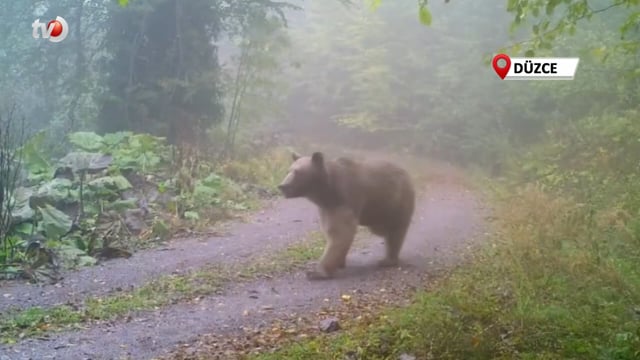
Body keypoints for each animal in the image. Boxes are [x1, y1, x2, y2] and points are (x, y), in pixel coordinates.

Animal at [278, 150, 418, 280]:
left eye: (297, 172)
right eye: (288, 171)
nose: (282, 186)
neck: (325, 192)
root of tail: (406, 172)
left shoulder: (344, 201)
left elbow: (340, 234)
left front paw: (316, 272)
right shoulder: (326, 208)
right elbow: (331, 231)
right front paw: (339, 262)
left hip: (396, 203)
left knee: (395, 231)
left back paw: (387, 260)